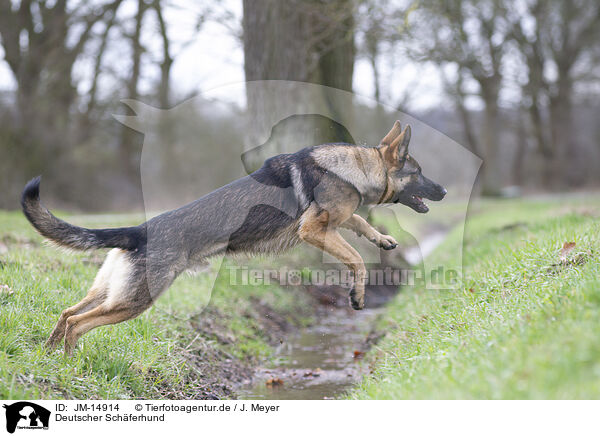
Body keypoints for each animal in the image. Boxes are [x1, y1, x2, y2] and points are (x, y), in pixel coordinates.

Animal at [19, 120, 446, 354]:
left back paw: (50, 356)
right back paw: (71, 361)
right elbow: (355, 258)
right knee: (79, 323)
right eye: (419, 173)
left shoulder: (334, 221)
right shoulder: (314, 230)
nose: (443, 190)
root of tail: (137, 231)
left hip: (110, 292)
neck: (358, 168)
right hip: (134, 302)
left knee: (67, 313)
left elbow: (358, 221)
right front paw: (357, 294)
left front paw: (383, 240)